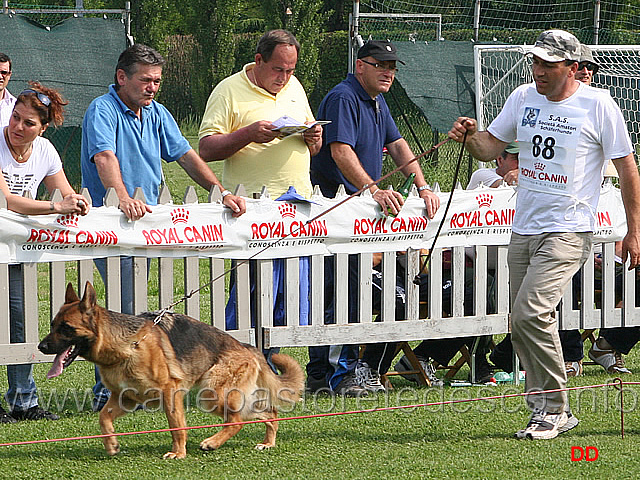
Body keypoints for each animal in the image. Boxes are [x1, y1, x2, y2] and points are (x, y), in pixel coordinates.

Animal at [38, 284, 304, 460]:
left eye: (66, 328)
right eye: (52, 325)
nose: (41, 347)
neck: (125, 347)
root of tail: (249, 346)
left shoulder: (169, 392)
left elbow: (176, 425)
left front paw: (179, 453)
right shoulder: (125, 398)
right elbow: (103, 418)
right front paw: (112, 445)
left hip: (211, 395)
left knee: (237, 420)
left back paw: (212, 443)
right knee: (268, 413)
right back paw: (267, 443)